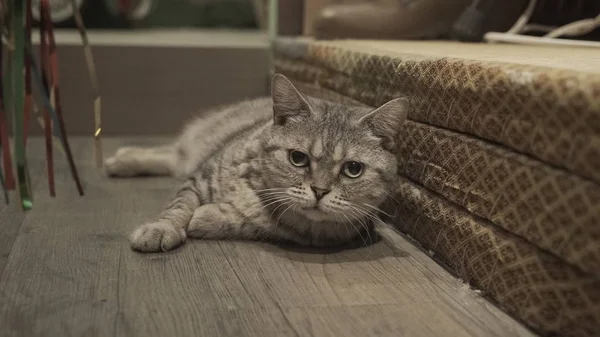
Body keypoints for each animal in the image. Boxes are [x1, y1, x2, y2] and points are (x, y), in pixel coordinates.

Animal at [106, 74, 408, 252]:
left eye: (353, 169)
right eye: (298, 158)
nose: (320, 191)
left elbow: (250, 222)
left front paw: (208, 217)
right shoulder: (201, 177)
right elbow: (178, 207)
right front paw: (161, 228)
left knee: (171, 158)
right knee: (171, 153)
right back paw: (121, 158)